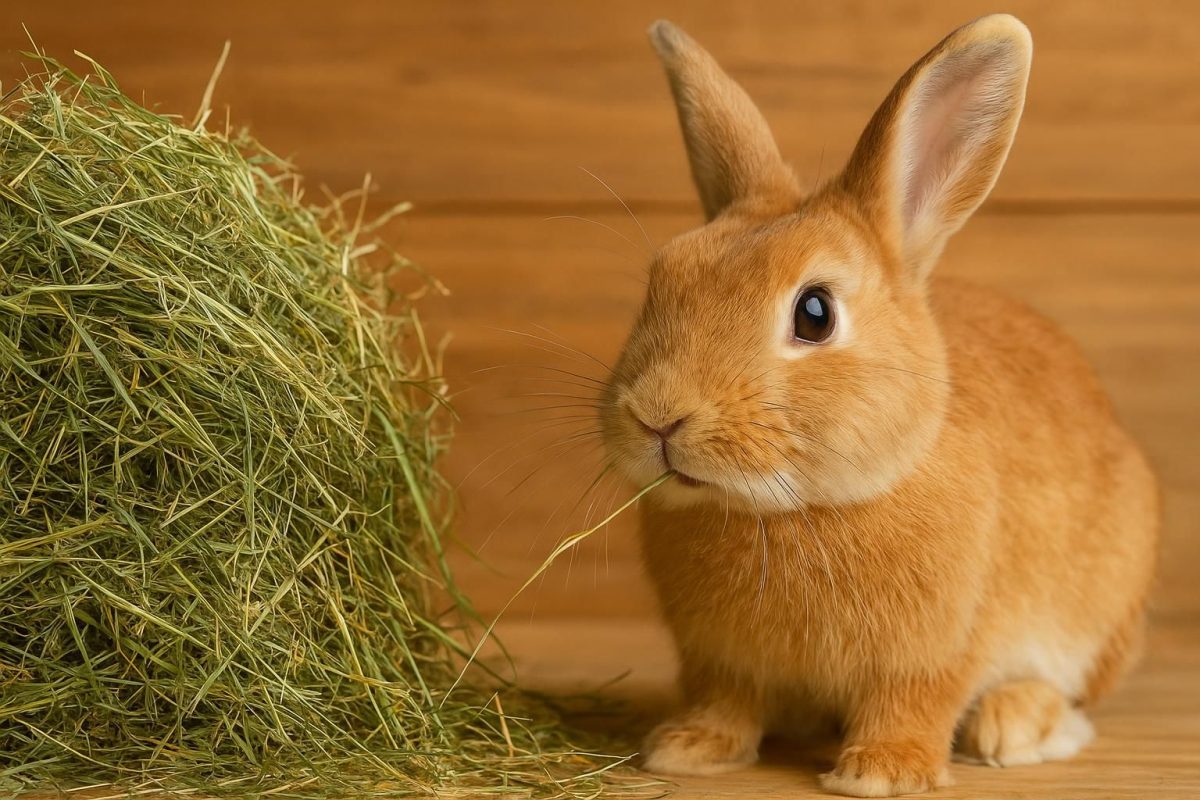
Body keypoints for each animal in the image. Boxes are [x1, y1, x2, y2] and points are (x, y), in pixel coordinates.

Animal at [597, 14, 1159, 797]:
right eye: (662, 280)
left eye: (814, 313)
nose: (657, 414)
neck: (790, 511)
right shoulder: (717, 661)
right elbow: (724, 700)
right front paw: (687, 749)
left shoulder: (939, 652)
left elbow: (914, 702)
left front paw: (882, 773)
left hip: (1106, 612)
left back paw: (1016, 726)